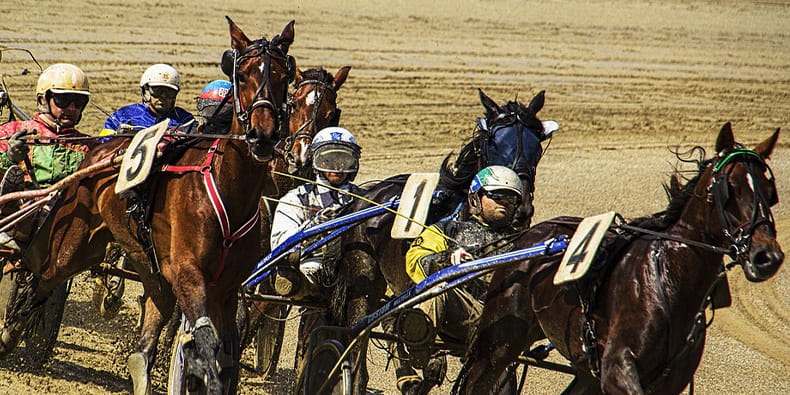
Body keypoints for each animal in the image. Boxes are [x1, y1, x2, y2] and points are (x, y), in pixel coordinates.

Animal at [0, 17, 296, 394]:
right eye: (242, 74)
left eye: (284, 76)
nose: (263, 136)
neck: (228, 190)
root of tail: (100, 147)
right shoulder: (188, 273)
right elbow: (207, 347)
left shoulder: (226, 289)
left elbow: (225, 353)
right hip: (73, 244)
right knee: (40, 284)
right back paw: (9, 334)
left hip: (148, 262)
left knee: (146, 337)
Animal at [458, 122, 784, 394]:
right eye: (730, 189)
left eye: (770, 191)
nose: (766, 256)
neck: (669, 278)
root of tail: (530, 237)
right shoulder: (618, 368)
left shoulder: (665, 381)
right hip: (499, 342)